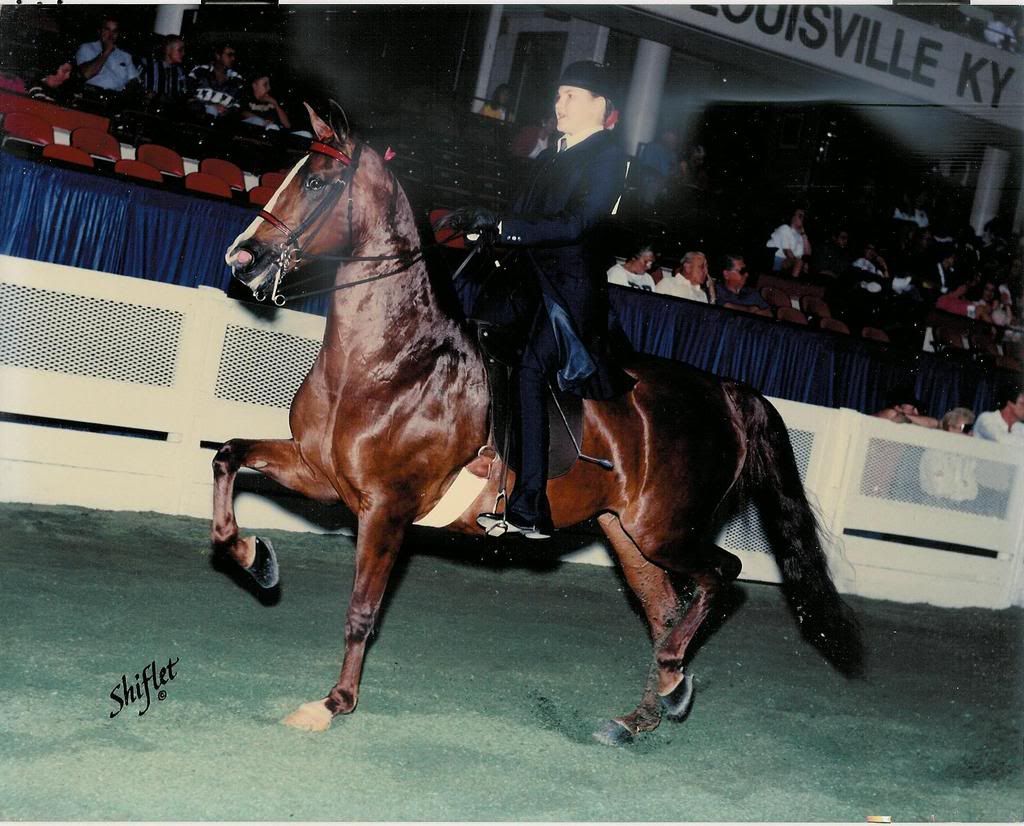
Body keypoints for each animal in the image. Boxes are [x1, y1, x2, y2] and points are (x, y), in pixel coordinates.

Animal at [211, 103, 860, 741]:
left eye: (318, 182)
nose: (240, 257)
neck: (392, 359)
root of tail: (723, 391)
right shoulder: (320, 474)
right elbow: (227, 457)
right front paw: (257, 561)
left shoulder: (386, 506)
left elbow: (362, 611)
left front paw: (333, 703)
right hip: (627, 533)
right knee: (666, 608)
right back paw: (645, 711)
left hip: (664, 528)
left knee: (723, 574)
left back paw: (674, 676)